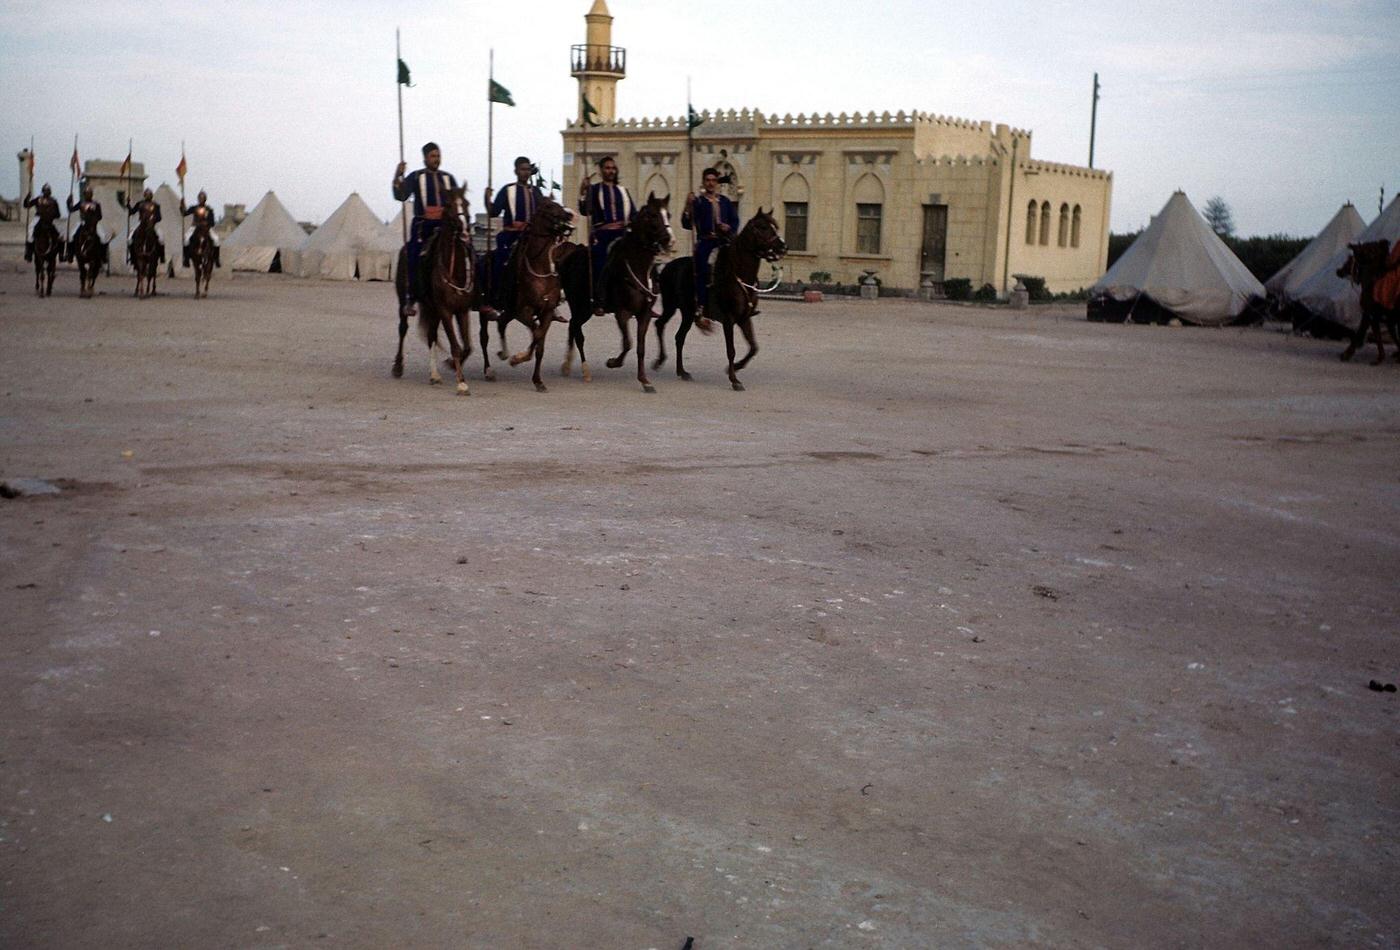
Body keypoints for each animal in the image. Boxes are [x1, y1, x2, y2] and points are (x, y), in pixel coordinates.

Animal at [411, 187, 478, 394]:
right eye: (448, 204)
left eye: (466, 203)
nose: (464, 230)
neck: (454, 270)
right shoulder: (445, 310)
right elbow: (455, 346)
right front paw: (461, 383)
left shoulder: (462, 310)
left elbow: (467, 346)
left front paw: (452, 365)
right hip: (432, 308)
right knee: (431, 336)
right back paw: (432, 375)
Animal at [492, 200, 574, 394]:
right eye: (549, 208)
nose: (569, 215)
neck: (540, 270)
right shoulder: (523, 311)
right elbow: (537, 335)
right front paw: (518, 358)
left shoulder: (547, 312)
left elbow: (539, 342)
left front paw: (537, 380)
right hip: (513, 310)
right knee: (502, 323)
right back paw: (504, 353)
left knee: (504, 322)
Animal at [574, 194, 677, 391]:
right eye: (653, 215)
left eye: (668, 214)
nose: (669, 240)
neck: (639, 268)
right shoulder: (622, 312)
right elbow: (628, 343)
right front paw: (613, 362)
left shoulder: (644, 314)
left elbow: (640, 347)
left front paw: (645, 380)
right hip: (582, 308)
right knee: (576, 331)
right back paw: (581, 370)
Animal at [655, 208, 789, 388]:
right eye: (763, 227)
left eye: (775, 226)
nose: (783, 247)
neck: (739, 275)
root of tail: (667, 266)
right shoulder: (728, 320)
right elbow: (731, 350)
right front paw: (734, 380)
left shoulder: (744, 318)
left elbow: (753, 347)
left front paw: (736, 367)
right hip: (670, 306)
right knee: (660, 325)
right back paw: (659, 361)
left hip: (688, 313)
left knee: (679, 337)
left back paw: (682, 372)